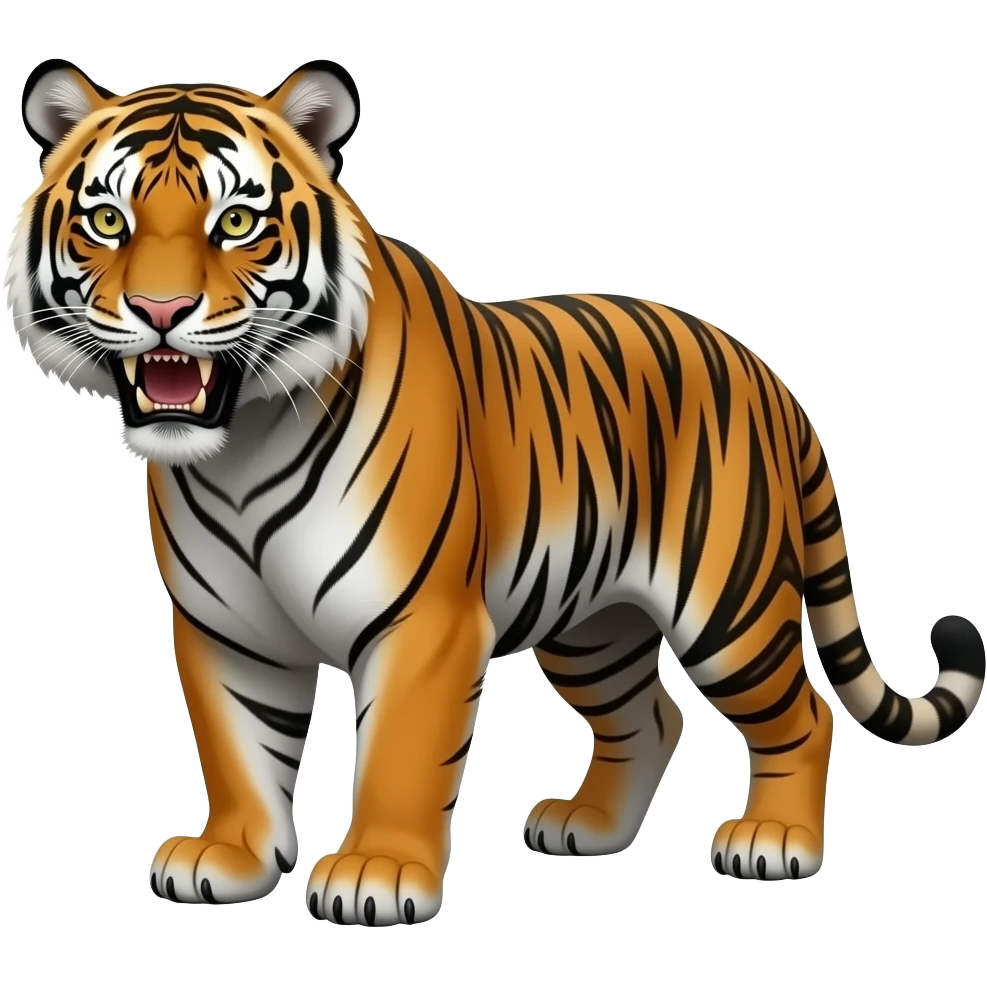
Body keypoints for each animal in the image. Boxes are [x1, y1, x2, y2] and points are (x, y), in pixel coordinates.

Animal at [6, 56, 984, 925]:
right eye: (106, 218)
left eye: (238, 221)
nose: (160, 312)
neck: (239, 443)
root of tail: (765, 371)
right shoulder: (224, 624)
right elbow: (238, 746)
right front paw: (233, 855)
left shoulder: (423, 618)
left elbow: (400, 752)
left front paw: (375, 873)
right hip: (592, 623)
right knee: (651, 716)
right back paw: (587, 826)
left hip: (728, 606)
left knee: (803, 715)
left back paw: (775, 841)